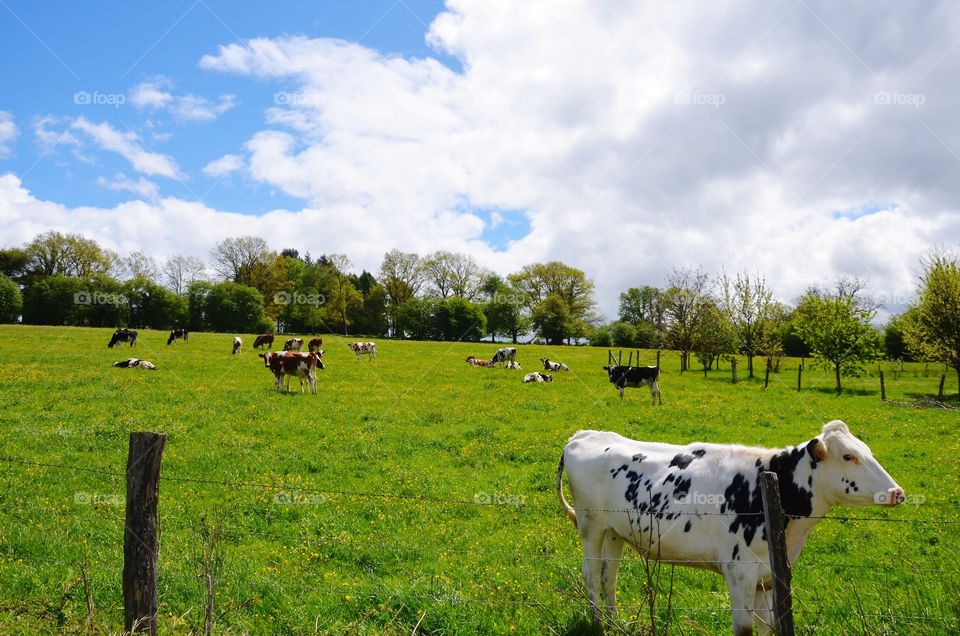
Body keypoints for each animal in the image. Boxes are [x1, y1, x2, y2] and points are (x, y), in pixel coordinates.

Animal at [556, 420, 905, 636]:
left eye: (867, 451)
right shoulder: (740, 571)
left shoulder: (767, 575)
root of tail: (585, 434)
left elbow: (768, 626)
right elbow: (745, 628)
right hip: (590, 525)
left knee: (608, 575)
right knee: (591, 574)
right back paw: (599, 624)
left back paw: (615, 623)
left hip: (616, 531)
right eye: (849, 456)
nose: (898, 492)